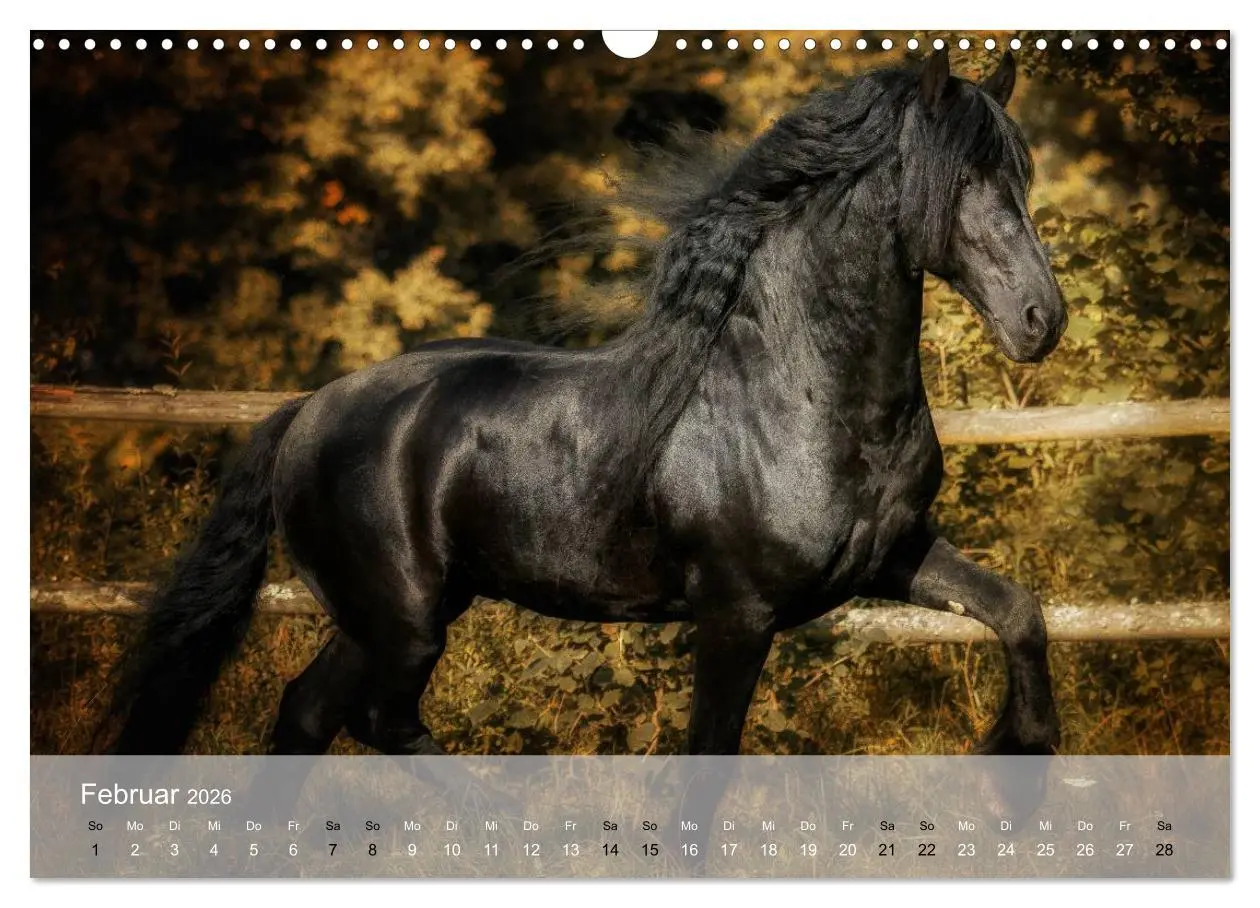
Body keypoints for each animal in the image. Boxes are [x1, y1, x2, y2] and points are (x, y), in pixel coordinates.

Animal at [105, 49, 1067, 761]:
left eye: (1019, 176)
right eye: (962, 182)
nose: (1041, 319)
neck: (799, 399)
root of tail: (307, 410)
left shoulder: (891, 557)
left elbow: (1017, 610)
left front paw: (1021, 746)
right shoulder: (736, 615)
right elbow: (706, 764)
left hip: (388, 614)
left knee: (308, 714)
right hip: (404, 617)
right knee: (381, 721)